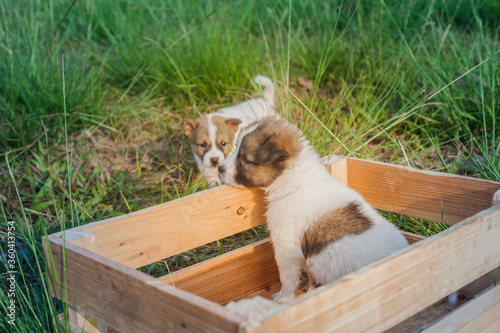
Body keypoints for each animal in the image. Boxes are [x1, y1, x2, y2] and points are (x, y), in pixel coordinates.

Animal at [219, 118, 410, 302]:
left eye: (245, 160)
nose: (219, 168)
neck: (293, 181)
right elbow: (309, 273)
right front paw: (309, 288)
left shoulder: (286, 247)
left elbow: (287, 277)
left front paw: (283, 296)